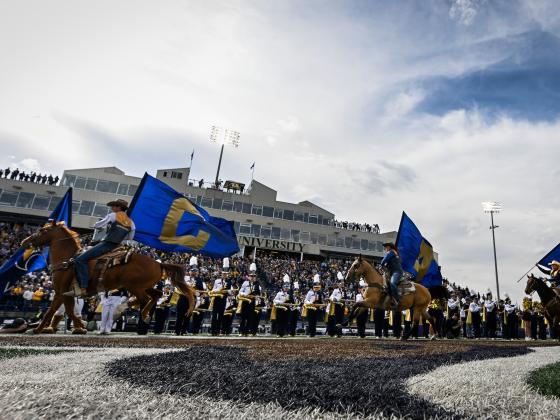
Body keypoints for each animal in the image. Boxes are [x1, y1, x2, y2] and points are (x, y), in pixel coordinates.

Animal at [20, 220, 196, 334]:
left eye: (42, 231)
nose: (24, 241)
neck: (68, 260)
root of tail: (158, 264)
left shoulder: (60, 291)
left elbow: (51, 311)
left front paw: (37, 329)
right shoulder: (66, 293)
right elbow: (66, 311)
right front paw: (79, 327)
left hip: (134, 286)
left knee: (144, 300)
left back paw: (136, 310)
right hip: (143, 286)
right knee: (155, 295)